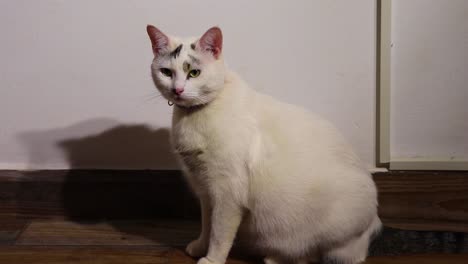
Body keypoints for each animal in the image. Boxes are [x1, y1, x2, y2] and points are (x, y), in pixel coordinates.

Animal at [148, 25, 382, 264]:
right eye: (166, 72)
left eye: (194, 73)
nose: (177, 90)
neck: (193, 116)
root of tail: (372, 226)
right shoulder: (204, 189)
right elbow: (207, 224)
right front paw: (200, 246)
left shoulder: (227, 193)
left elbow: (219, 233)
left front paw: (212, 259)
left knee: (317, 254)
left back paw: (276, 257)